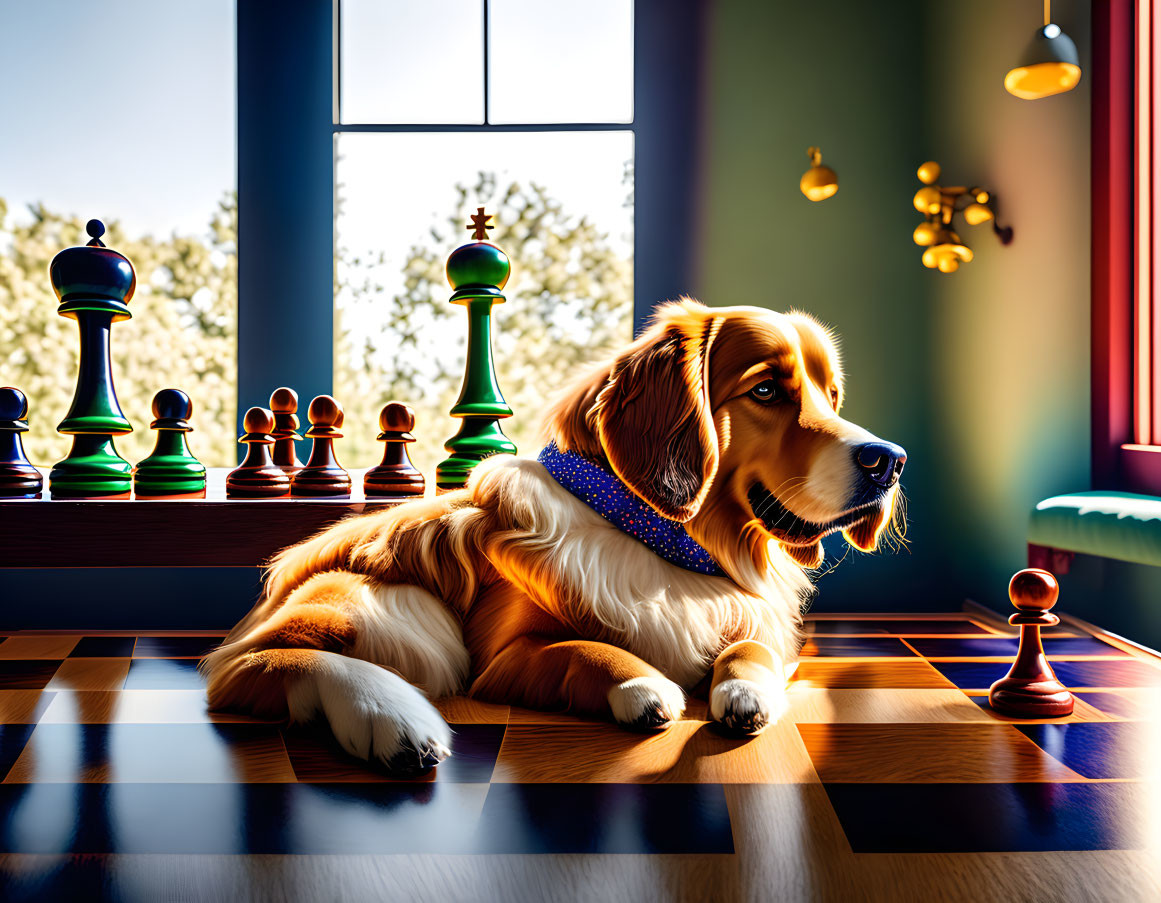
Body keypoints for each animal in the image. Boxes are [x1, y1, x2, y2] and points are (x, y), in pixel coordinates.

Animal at [199, 299, 905, 770]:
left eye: (831, 396)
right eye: (765, 391)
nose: (890, 460)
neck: (658, 541)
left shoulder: (759, 629)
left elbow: (750, 650)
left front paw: (744, 690)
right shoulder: (506, 657)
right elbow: (583, 650)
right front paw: (643, 686)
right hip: (387, 604)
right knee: (250, 667)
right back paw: (392, 719)